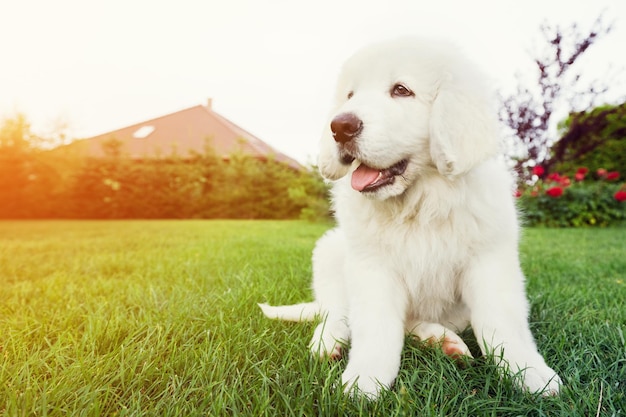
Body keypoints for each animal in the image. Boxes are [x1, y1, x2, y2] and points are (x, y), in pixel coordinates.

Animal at [256, 37, 560, 398]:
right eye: (350, 95)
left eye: (401, 90)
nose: (339, 126)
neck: (420, 202)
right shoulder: (372, 267)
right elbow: (376, 328)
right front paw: (366, 380)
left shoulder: (489, 262)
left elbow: (502, 323)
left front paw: (529, 373)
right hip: (330, 252)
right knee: (337, 313)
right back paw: (328, 342)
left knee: (408, 322)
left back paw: (440, 340)